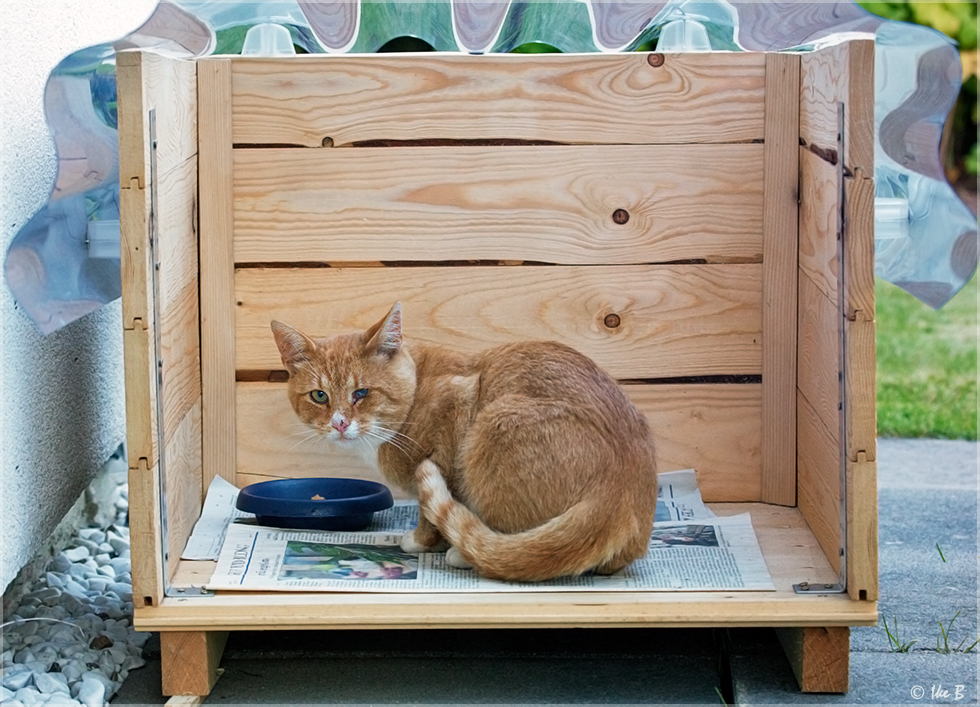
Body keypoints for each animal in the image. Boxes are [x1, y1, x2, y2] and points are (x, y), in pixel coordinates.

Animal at [270, 304, 660, 580]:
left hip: (496, 423)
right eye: (319, 396)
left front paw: (422, 541)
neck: (417, 388)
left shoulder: (458, 406)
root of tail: (619, 489)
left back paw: (467, 554)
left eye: (361, 393)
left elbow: (431, 508)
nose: (339, 423)